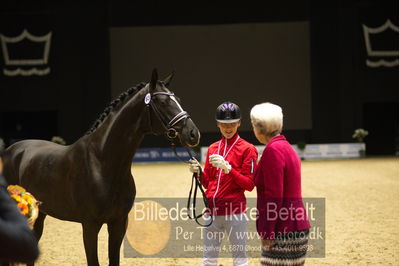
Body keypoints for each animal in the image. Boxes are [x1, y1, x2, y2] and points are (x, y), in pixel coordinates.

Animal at [0, 69, 200, 264]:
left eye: (178, 99)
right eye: (162, 101)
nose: (193, 133)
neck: (102, 164)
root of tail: (11, 150)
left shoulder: (118, 223)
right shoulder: (89, 225)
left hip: (39, 214)